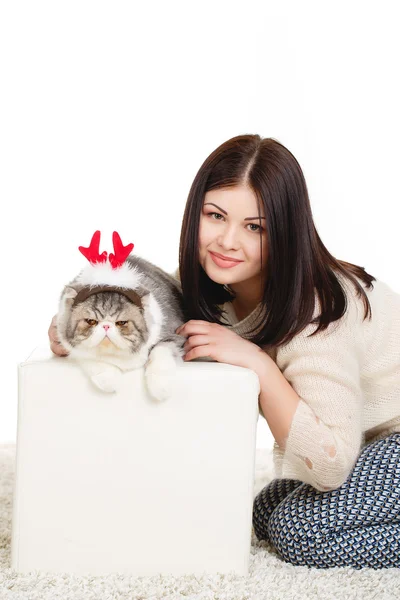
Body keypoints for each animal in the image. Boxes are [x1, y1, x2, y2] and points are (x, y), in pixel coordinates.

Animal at [55, 254, 188, 404]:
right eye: (91, 321)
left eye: (121, 323)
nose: (106, 326)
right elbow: (92, 360)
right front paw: (108, 380)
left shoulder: (175, 335)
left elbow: (160, 353)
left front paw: (160, 387)